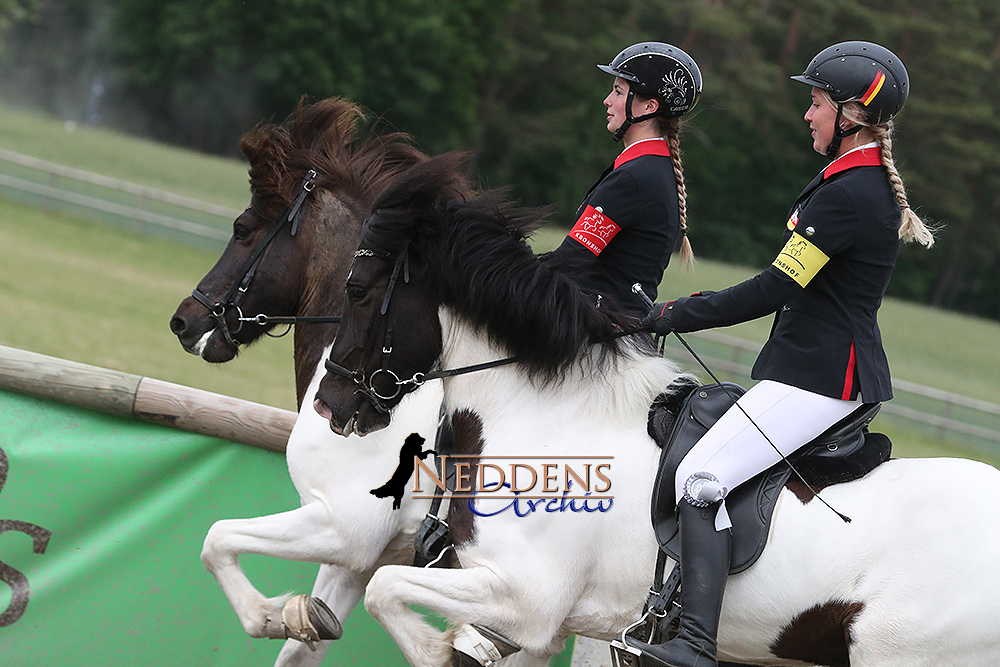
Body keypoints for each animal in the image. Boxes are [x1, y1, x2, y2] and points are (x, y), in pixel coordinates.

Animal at [171, 99, 454, 667]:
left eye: (242, 229)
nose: (184, 321)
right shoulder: (358, 562)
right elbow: (301, 649)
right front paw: (300, 618)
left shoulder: (343, 528)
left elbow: (217, 538)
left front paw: (268, 614)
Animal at [316, 151, 1000, 667]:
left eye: (358, 290)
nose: (329, 405)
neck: (553, 416)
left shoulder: (525, 597)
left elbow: (385, 588)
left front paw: (438, 648)